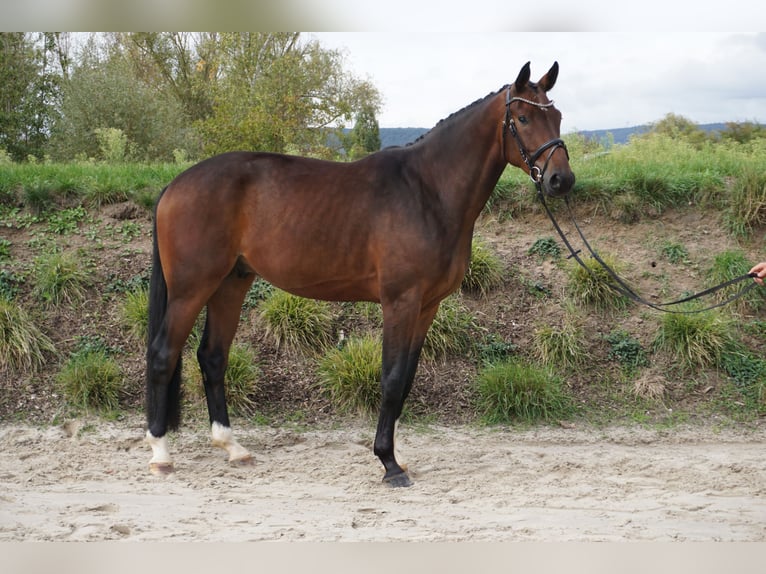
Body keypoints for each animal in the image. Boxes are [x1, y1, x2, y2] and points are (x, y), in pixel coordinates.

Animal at [146, 60, 576, 488]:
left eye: (556, 116)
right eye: (522, 118)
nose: (561, 179)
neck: (427, 191)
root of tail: (174, 185)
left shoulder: (427, 306)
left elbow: (407, 379)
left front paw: (396, 456)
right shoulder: (400, 301)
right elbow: (391, 378)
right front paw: (389, 463)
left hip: (230, 283)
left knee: (213, 356)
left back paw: (233, 448)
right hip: (191, 288)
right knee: (163, 353)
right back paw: (161, 454)